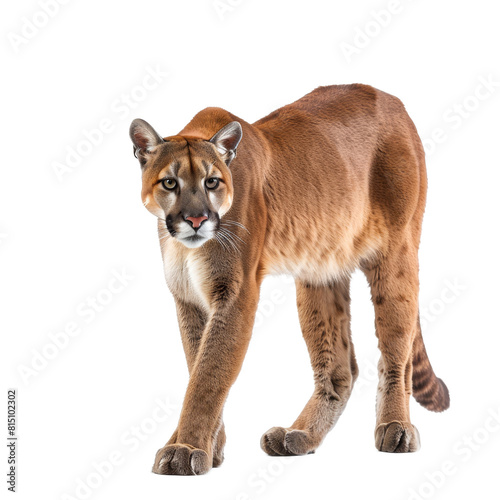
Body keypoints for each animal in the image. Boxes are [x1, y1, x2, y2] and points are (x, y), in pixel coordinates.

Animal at [129, 85, 450, 476]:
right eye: (170, 182)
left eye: (212, 181)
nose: (196, 219)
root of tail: (393, 100)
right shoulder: (188, 297)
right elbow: (197, 365)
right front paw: (210, 448)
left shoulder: (236, 294)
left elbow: (209, 375)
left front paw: (185, 449)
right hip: (319, 275)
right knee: (342, 369)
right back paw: (299, 436)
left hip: (395, 256)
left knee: (396, 354)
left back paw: (396, 428)